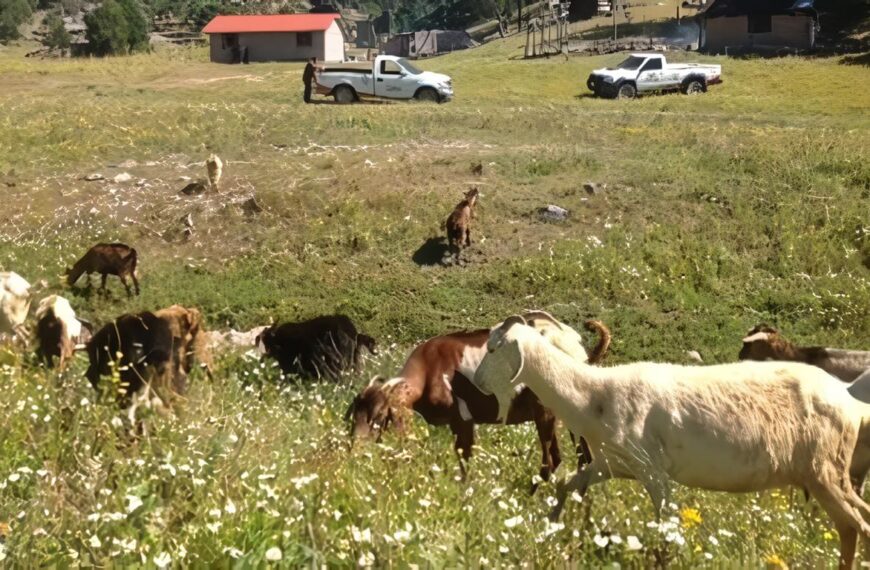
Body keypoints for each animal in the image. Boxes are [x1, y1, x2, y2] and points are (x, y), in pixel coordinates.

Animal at [348, 310, 612, 484]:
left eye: (378, 416)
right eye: (353, 415)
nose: (354, 450)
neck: (430, 368)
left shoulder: (462, 419)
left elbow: (464, 460)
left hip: (544, 410)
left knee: (552, 460)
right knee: (583, 457)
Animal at [474, 316, 870, 568]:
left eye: (493, 349)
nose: (477, 383)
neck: (594, 395)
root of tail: (849, 399)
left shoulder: (653, 471)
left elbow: (665, 525)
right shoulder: (611, 464)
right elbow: (568, 485)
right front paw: (549, 530)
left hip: (825, 471)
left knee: (857, 525)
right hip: (830, 474)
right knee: (852, 525)